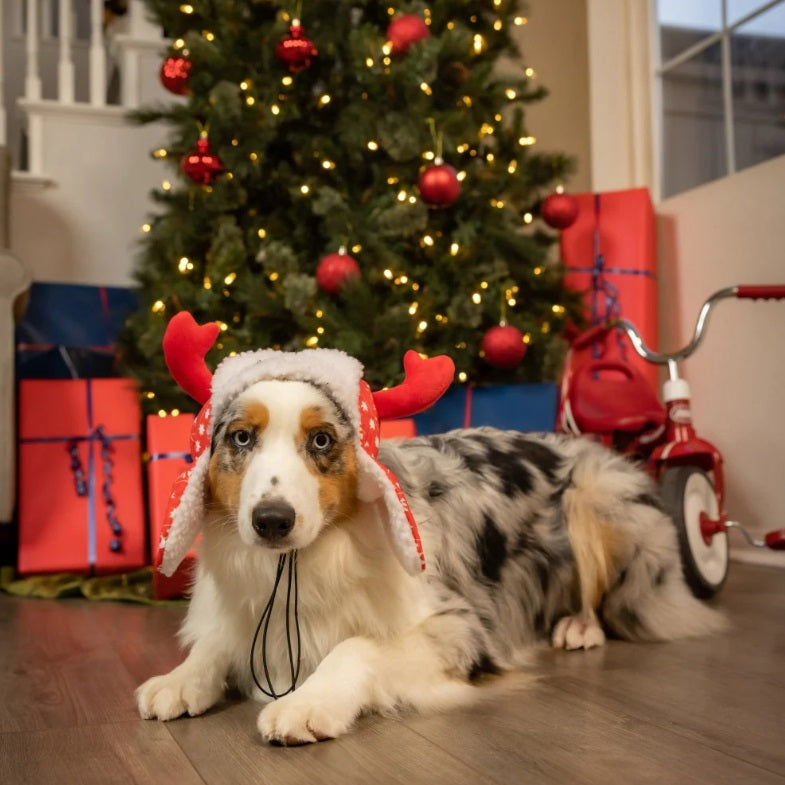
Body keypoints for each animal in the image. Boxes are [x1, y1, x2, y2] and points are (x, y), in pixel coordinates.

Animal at [135, 352, 724, 744]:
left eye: (322, 439)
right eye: (241, 438)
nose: (272, 521)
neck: (301, 565)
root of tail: (586, 443)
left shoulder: (460, 629)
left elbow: (357, 646)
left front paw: (307, 703)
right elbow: (213, 645)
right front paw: (178, 679)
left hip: (594, 497)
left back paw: (577, 628)